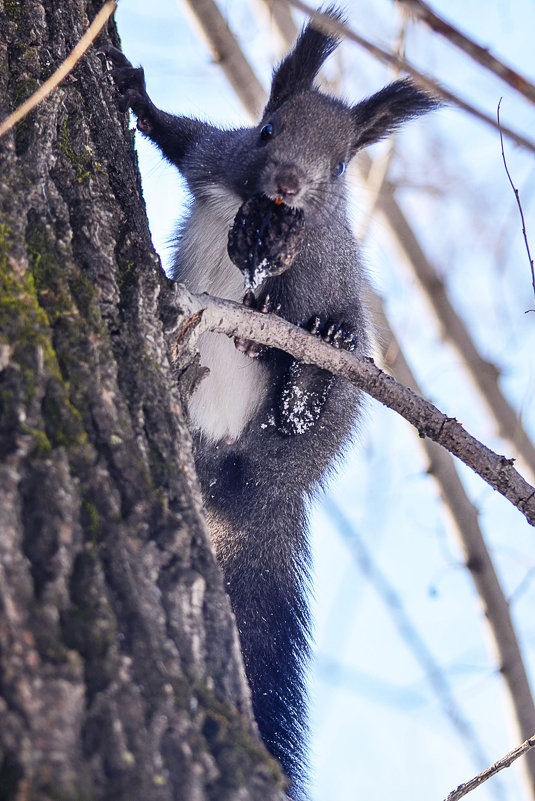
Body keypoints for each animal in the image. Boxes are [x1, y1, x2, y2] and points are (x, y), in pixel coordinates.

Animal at [102, 10, 438, 792]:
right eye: (267, 129)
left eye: (341, 166)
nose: (287, 184)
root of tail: (262, 500)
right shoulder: (215, 157)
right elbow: (181, 136)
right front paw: (133, 90)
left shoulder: (323, 264)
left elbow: (304, 282)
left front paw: (272, 256)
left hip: (332, 410)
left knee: (320, 384)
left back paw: (303, 390)